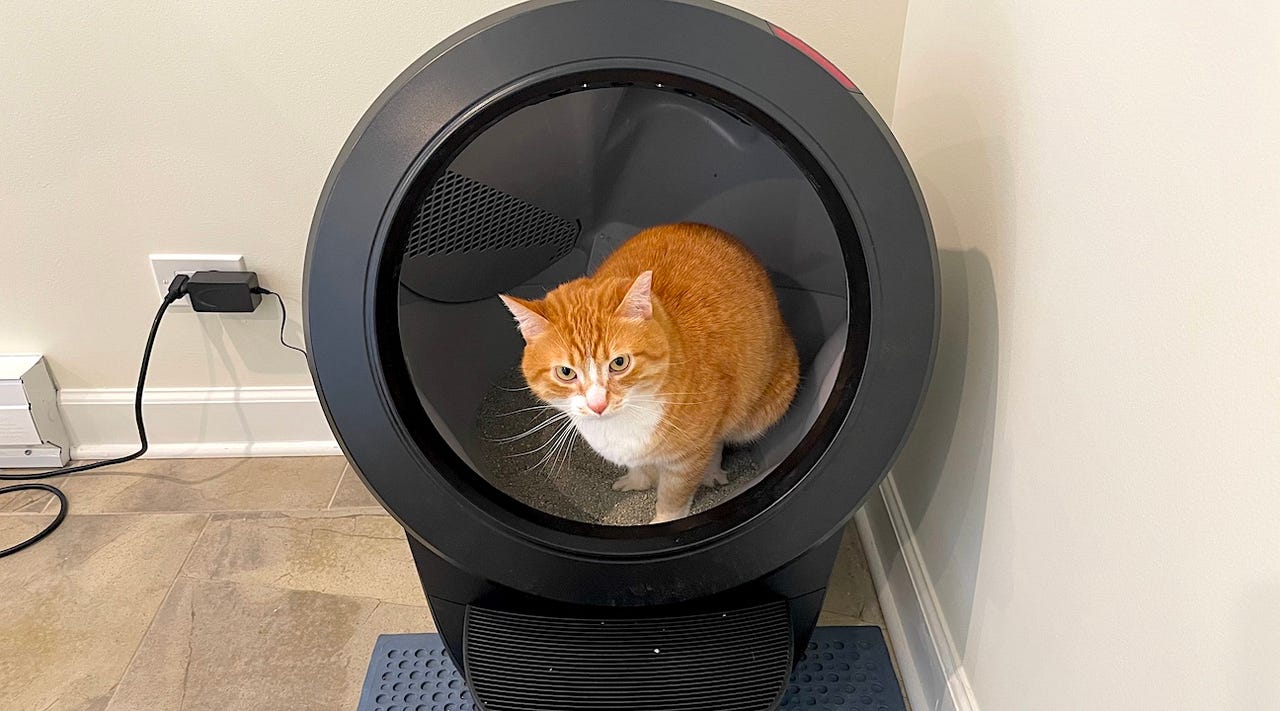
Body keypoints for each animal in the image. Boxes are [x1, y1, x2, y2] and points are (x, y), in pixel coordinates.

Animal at [501, 222, 793, 522]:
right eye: (566, 372)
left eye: (619, 363)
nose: (598, 404)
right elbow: (640, 467)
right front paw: (638, 480)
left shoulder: (688, 457)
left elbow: (674, 494)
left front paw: (664, 518)